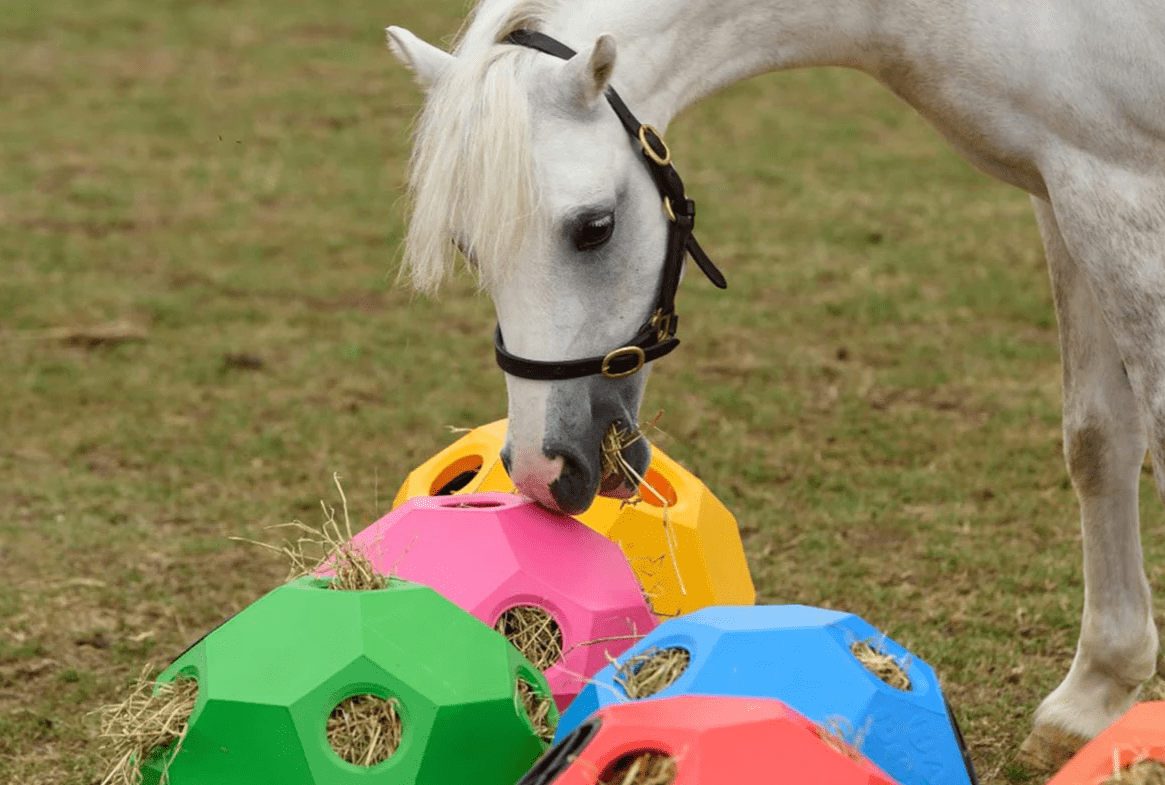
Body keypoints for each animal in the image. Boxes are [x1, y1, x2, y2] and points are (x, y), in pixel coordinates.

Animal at [385, 0, 1163, 771]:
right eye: (466, 245)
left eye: (595, 227)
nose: (542, 472)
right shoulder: (1060, 189)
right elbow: (1098, 439)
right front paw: (1091, 696)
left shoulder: (1117, 188)